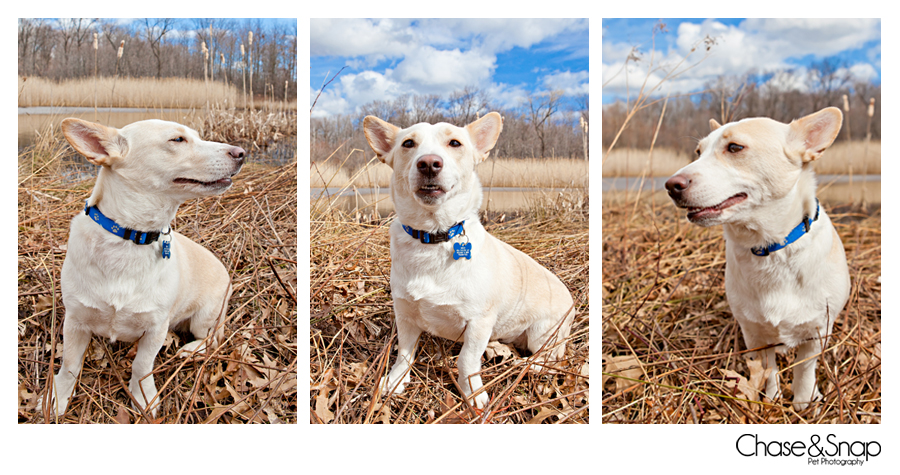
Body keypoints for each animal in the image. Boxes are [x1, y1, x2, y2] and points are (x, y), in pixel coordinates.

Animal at [44, 119, 244, 420]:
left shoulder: (155, 328)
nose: (241, 152)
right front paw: (59, 397)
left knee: (212, 339)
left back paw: (190, 350)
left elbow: (141, 366)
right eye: (177, 140)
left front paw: (143, 397)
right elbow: (69, 364)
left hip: (204, 318)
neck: (130, 238)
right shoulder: (75, 321)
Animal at [362, 112, 572, 410]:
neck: (433, 236)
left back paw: (527, 366)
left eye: (455, 143)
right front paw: (395, 381)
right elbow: (404, 354)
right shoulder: (405, 315)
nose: (429, 163)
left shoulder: (478, 323)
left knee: (547, 359)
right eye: (408, 144)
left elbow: (466, 360)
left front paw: (472, 392)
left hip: (543, 334)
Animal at [668, 107, 852, 410]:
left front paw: (803, 403)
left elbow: (804, 370)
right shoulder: (755, 334)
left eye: (734, 148)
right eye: (698, 152)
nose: (670, 185)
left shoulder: (817, 331)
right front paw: (772, 399)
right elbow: (769, 370)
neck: (770, 249)